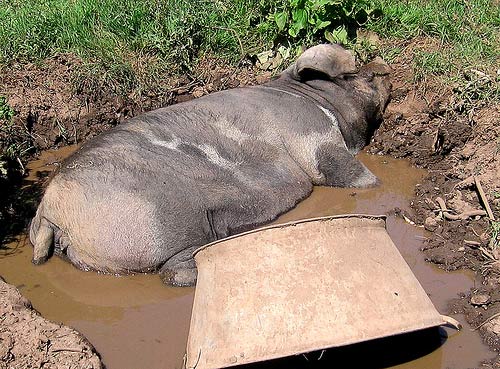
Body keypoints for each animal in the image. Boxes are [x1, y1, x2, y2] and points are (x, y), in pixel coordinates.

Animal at [29, 43, 392, 284]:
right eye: (357, 74)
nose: (384, 66)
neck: (313, 99)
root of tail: (51, 212)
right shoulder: (313, 136)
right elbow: (347, 173)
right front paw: (377, 185)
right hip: (160, 227)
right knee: (171, 271)